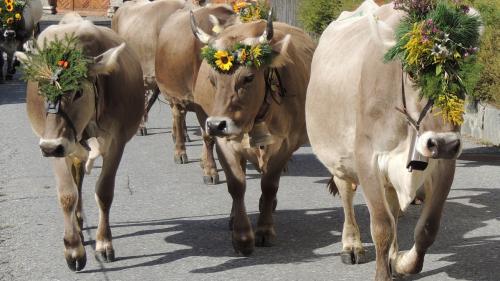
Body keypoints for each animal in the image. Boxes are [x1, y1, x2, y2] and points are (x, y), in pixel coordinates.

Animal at [16, 14, 145, 270]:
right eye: (40, 90)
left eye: (77, 91)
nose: (49, 147)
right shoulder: (55, 145)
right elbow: (67, 195)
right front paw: (73, 248)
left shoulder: (116, 143)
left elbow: (104, 192)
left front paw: (104, 244)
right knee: (76, 181)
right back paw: (76, 222)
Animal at [155, 5, 239, 183]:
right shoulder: (202, 108)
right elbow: (208, 137)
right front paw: (210, 170)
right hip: (174, 96)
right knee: (178, 117)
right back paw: (180, 151)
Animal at [189, 15, 314, 254]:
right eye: (212, 80)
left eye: (247, 78)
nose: (216, 124)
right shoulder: (224, 143)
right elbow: (236, 185)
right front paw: (243, 237)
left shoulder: (286, 144)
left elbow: (270, 185)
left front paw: (265, 230)